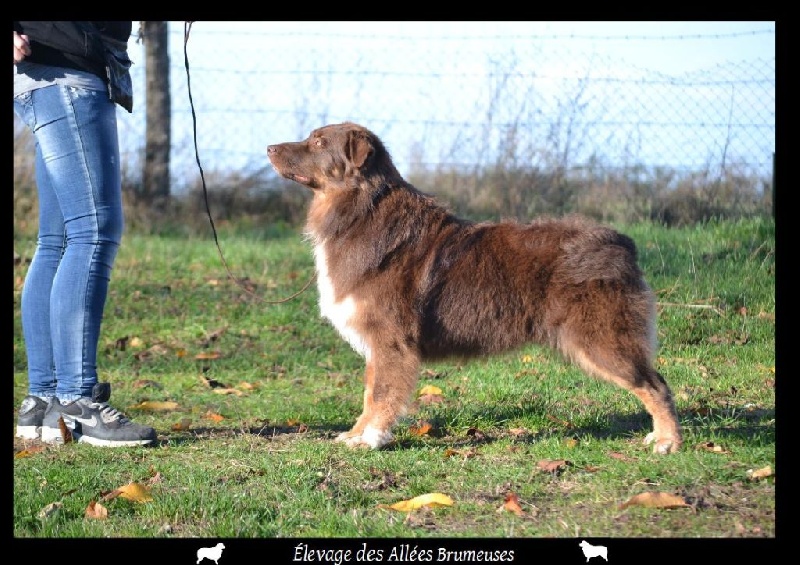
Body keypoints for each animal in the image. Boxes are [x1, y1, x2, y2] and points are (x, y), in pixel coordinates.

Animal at [268, 121, 680, 452]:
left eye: (318, 142)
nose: (270, 148)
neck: (358, 210)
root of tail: (621, 242)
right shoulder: (377, 344)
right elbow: (370, 393)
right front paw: (355, 434)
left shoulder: (390, 340)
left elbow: (382, 395)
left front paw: (370, 440)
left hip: (602, 339)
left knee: (656, 385)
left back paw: (666, 441)